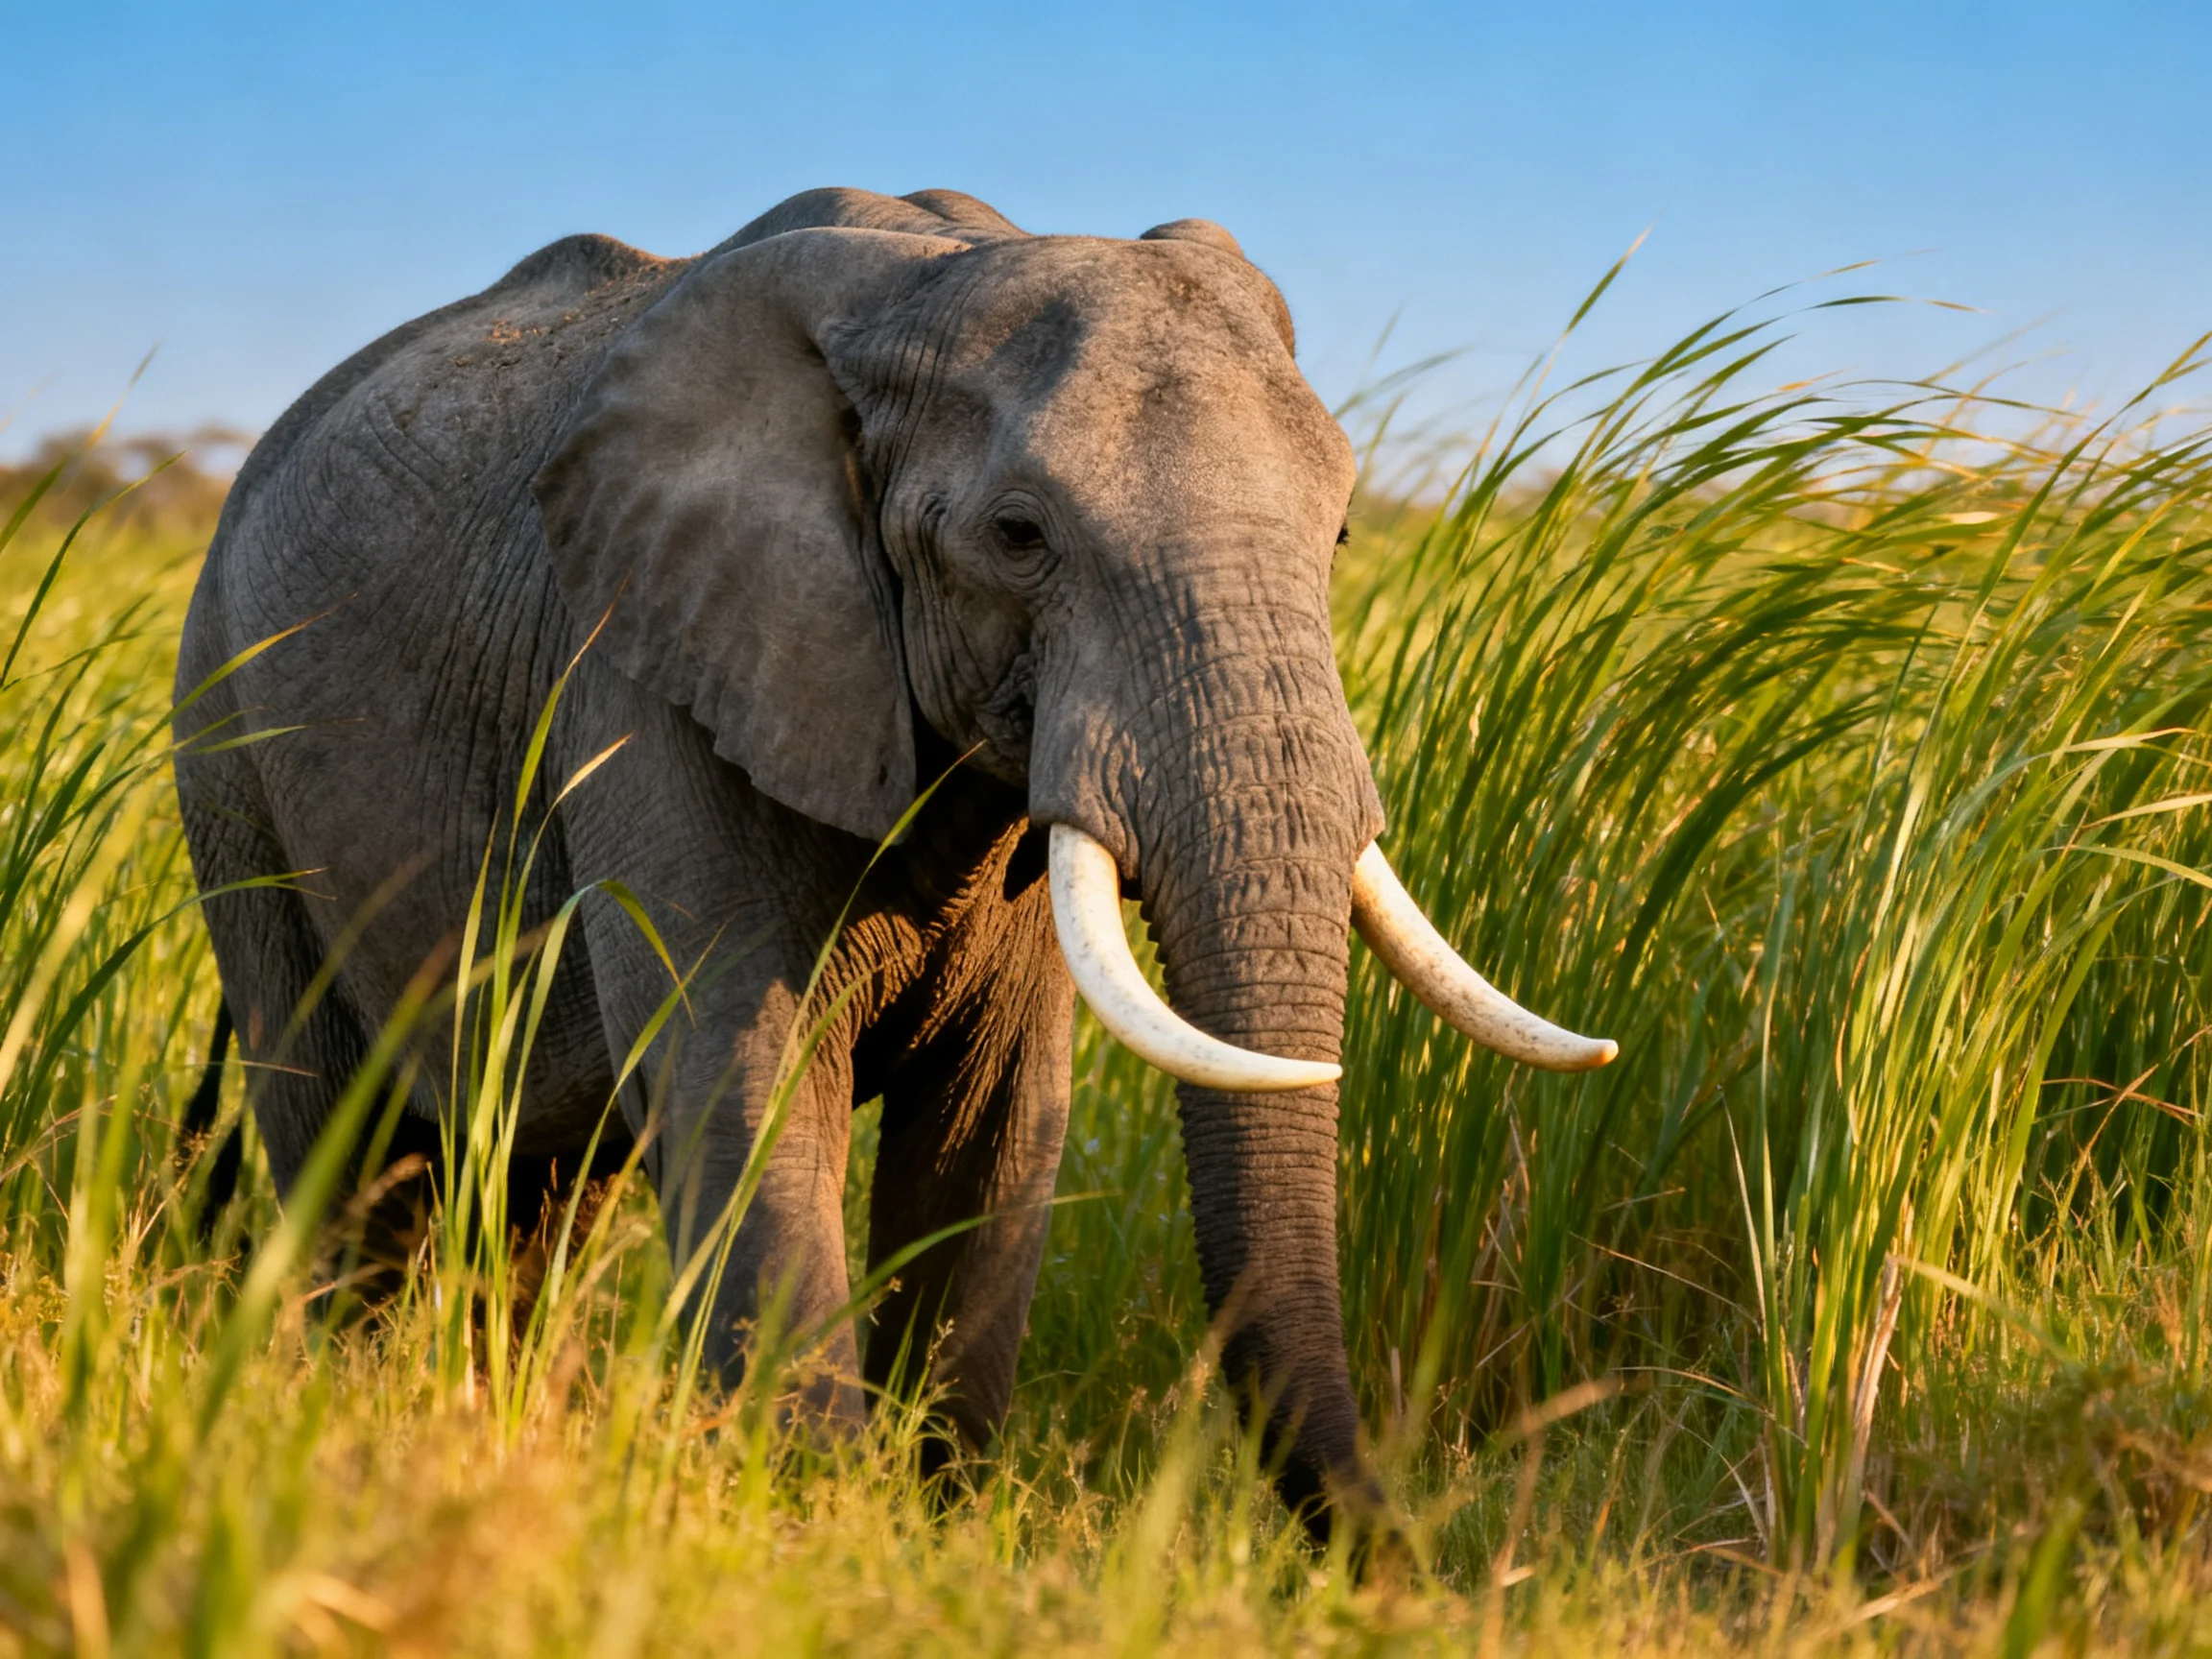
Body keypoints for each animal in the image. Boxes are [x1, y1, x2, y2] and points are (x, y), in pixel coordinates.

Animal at [173, 185, 1613, 1540]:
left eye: (1342, 537)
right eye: (1020, 536)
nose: (1404, 1550)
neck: (923, 279)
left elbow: (996, 1121)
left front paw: (936, 1525)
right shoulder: (647, 676)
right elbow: (744, 1085)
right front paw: (816, 1524)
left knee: (534, 1180)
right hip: (229, 746)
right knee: (339, 1138)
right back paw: (347, 1405)